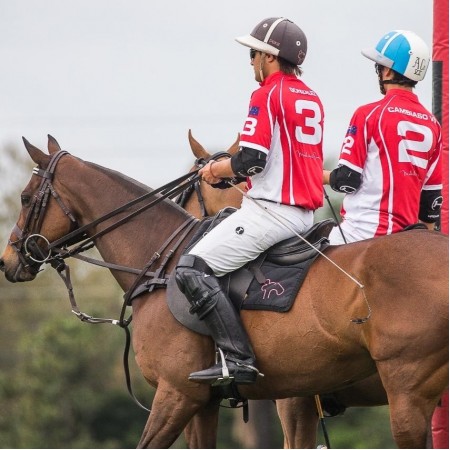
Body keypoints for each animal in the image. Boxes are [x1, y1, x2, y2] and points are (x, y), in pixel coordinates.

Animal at [1, 135, 448, 448]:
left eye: (24, 197)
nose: (8, 262)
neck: (160, 265)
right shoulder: (208, 402)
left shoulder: (178, 394)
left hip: (407, 392)